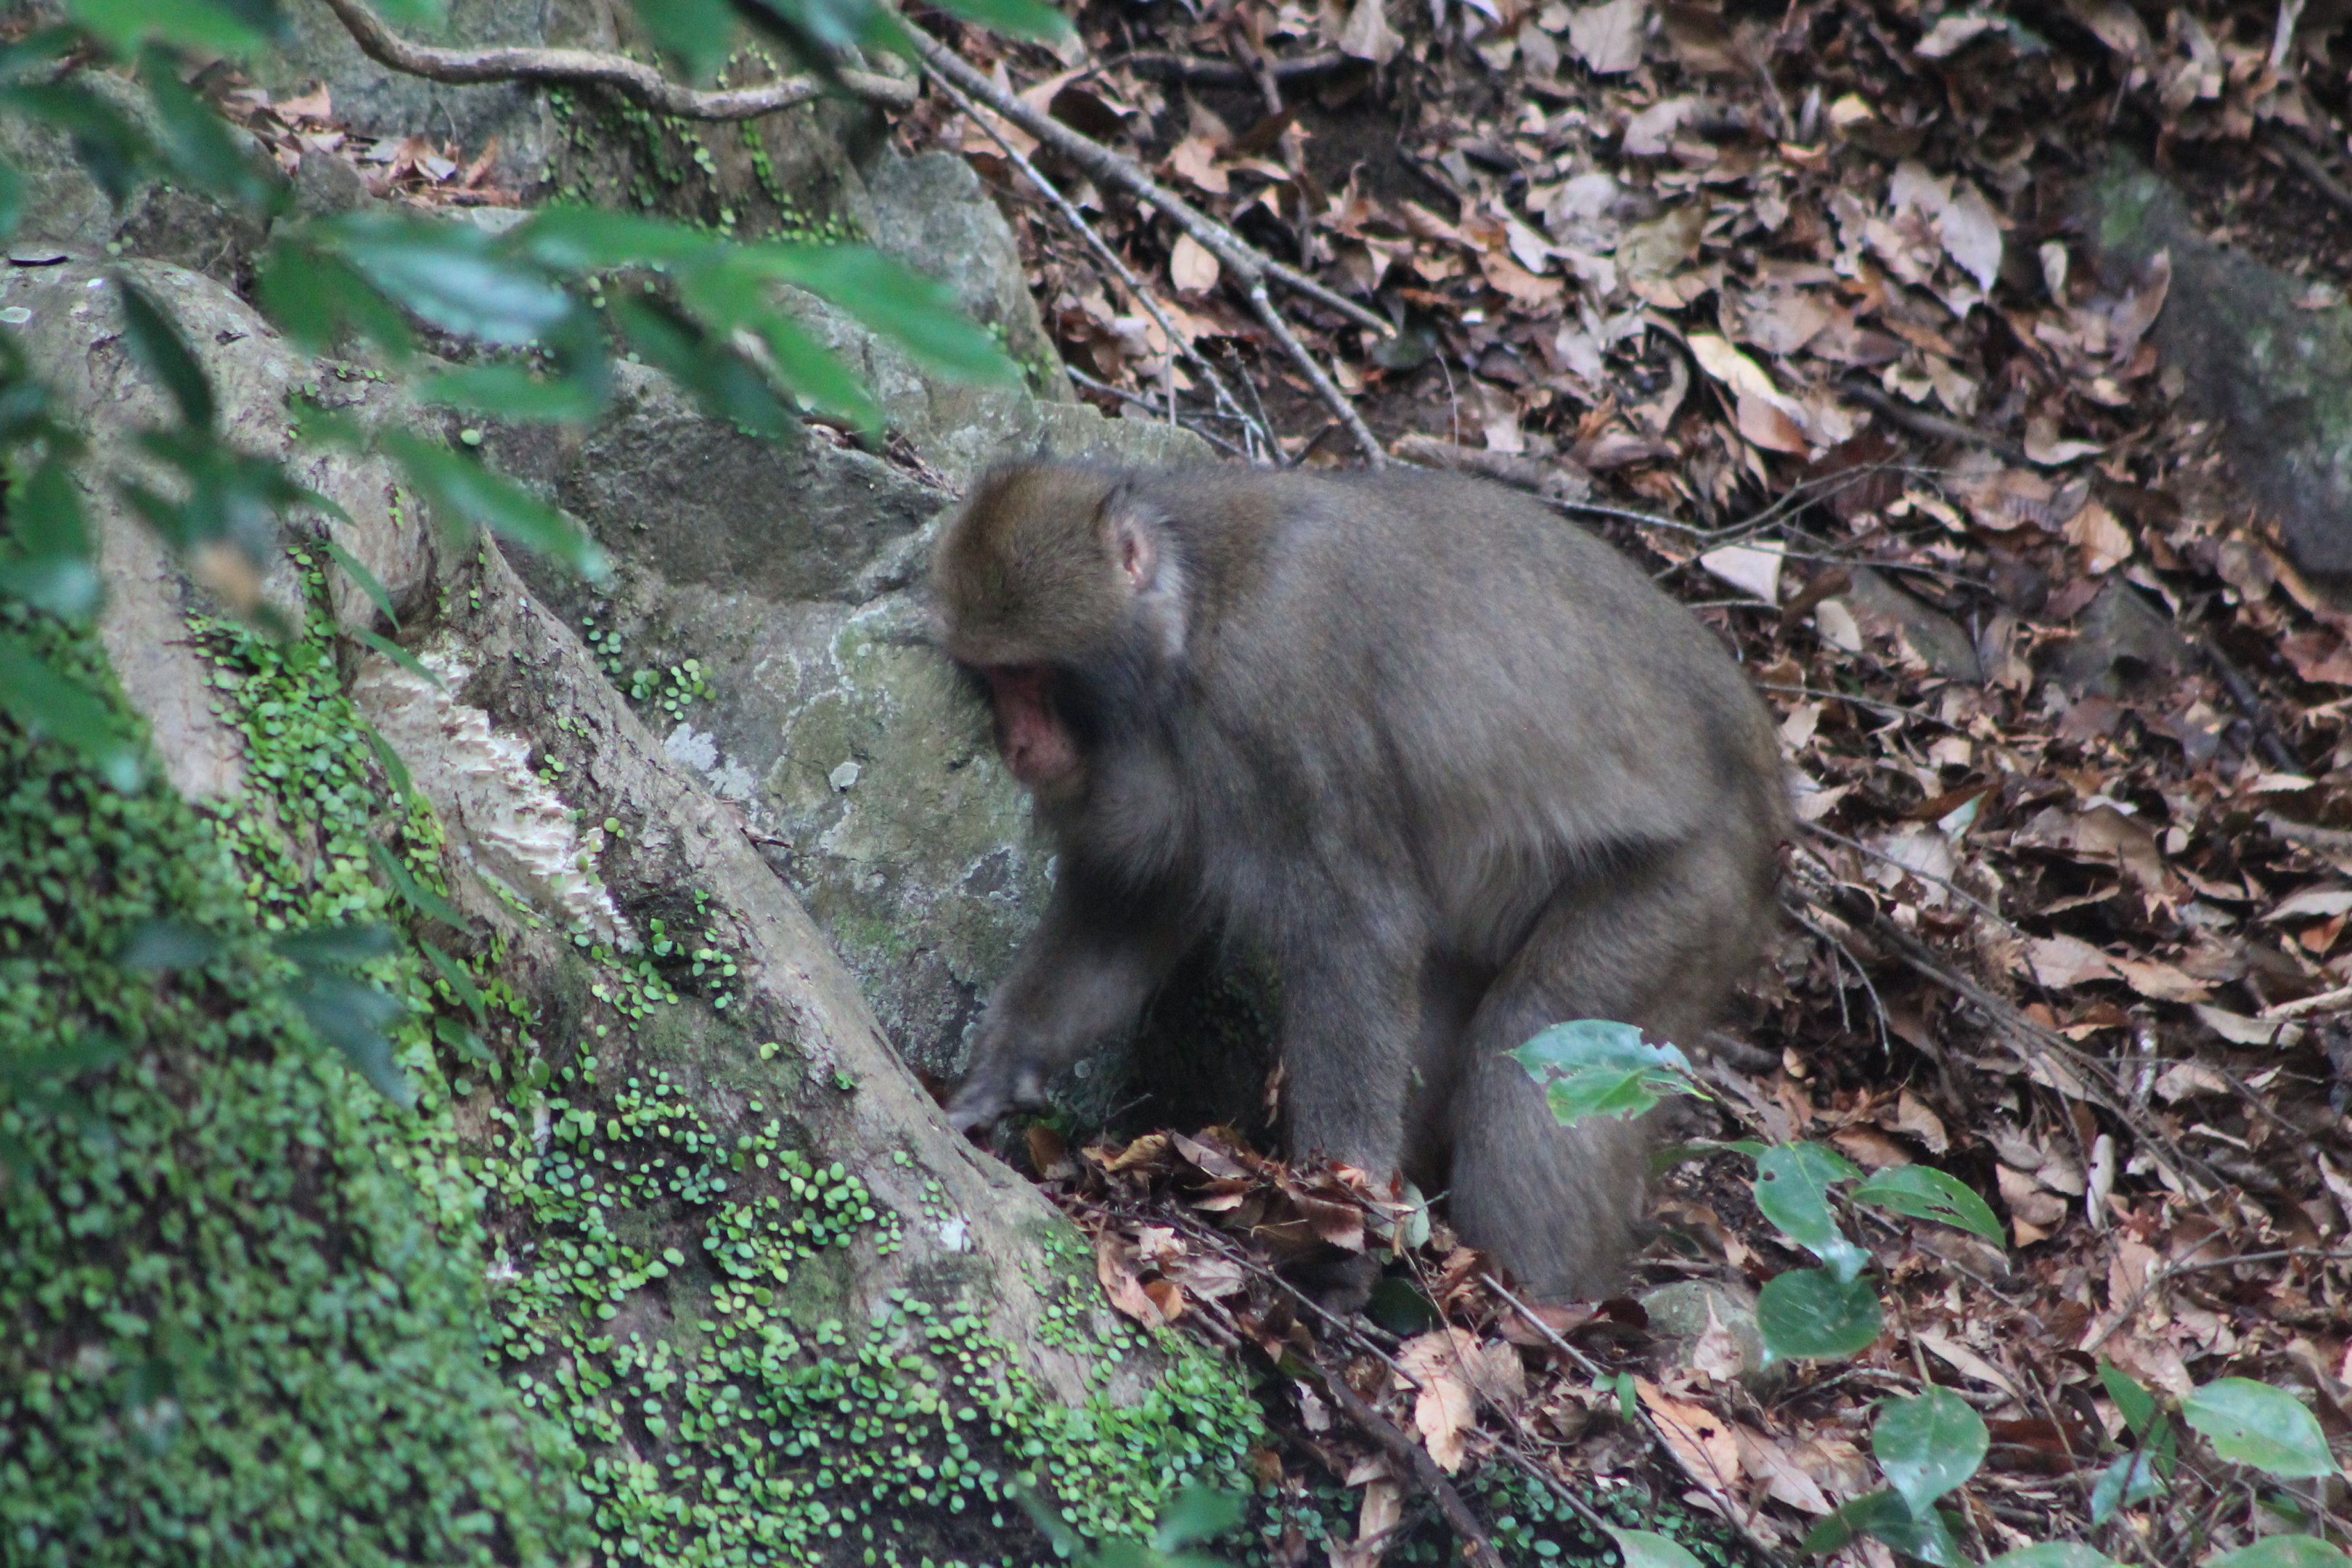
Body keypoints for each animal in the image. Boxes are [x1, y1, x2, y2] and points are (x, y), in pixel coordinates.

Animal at [932, 461, 1789, 1302]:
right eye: (991, 679)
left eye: (1032, 675)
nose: (1018, 743)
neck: (1192, 617)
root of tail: (1775, 796)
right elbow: (1125, 914)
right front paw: (997, 1074)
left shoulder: (1279, 701)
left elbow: (1355, 940)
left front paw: (1334, 1246)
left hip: (1694, 890)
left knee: (1538, 1038)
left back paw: (1535, 1303)